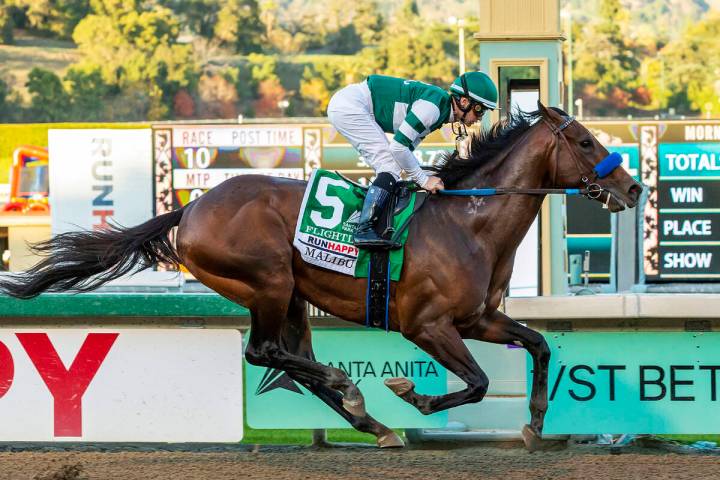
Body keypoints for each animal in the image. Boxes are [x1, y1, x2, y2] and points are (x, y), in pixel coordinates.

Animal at [0, 102, 640, 450]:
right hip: (268, 283)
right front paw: (413, 395)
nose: (633, 188)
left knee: (292, 360)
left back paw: (371, 422)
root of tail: (191, 208)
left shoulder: (478, 318)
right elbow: (479, 382)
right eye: (586, 141)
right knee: (264, 353)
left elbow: (538, 346)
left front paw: (534, 425)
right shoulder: (428, 325)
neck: (469, 222)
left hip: (291, 297)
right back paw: (355, 393)